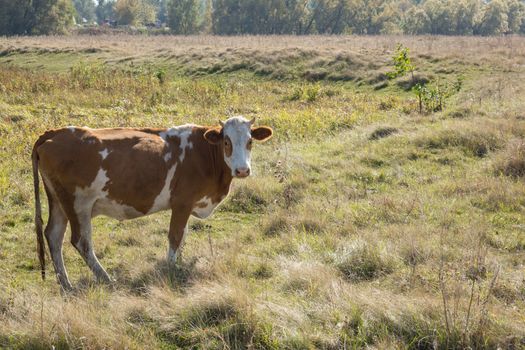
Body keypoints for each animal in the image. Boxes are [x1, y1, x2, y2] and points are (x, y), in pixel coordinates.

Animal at [31, 117, 274, 290]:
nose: (242, 170)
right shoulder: (182, 203)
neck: (203, 153)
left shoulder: (187, 205)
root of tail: (54, 132)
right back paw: (106, 278)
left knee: (53, 235)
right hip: (78, 204)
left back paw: (66, 284)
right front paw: (171, 269)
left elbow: (183, 236)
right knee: (81, 241)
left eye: (250, 141)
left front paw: (180, 263)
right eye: (226, 142)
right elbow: (175, 236)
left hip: (59, 202)